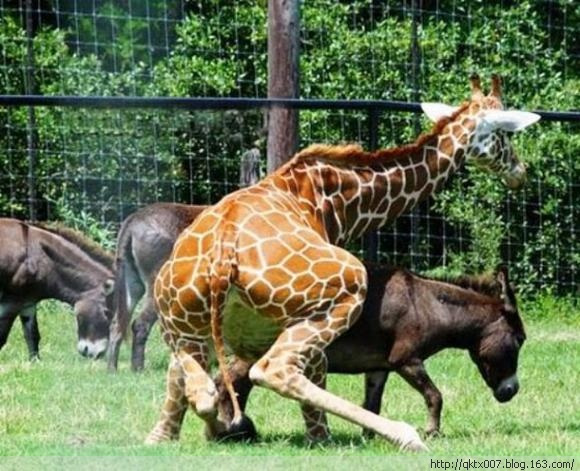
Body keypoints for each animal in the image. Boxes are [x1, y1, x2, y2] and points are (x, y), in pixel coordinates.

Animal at [145, 74, 540, 450]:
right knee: (273, 370)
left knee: (200, 387)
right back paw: (399, 435)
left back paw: (194, 432)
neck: (342, 200)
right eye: (505, 135)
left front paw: (180, 433)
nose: (520, 171)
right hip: (345, 290)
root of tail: (224, 254)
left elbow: (181, 382)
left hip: (181, 320)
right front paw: (321, 436)